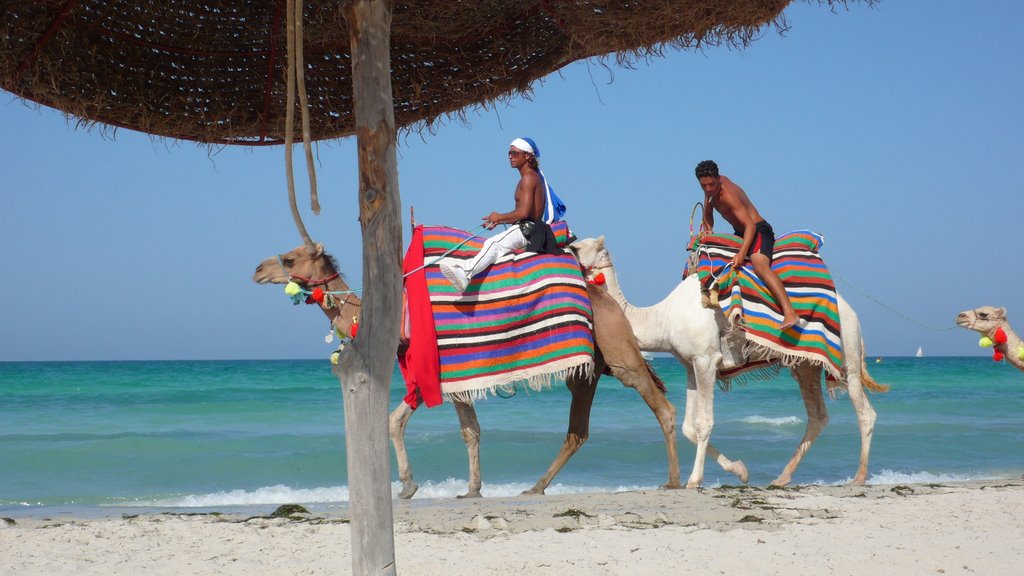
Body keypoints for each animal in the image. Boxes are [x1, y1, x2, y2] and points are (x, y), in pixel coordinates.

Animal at [250, 241, 679, 498]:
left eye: (290, 258)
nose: (257, 269)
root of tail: (608, 299)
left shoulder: (440, 370)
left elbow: (454, 428)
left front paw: (418, 486)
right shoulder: (430, 375)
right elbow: (415, 422)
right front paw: (456, 488)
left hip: (618, 351)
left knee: (660, 404)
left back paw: (674, 481)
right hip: (587, 369)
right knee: (578, 430)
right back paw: (535, 488)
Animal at [569, 235, 888, 485]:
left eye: (574, 246)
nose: (563, 249)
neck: (663, 318)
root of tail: (852, 312)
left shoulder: (706, 359)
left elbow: (704, 423)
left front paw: (695, 480)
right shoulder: (690, 364)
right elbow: (689, 427)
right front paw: (741, 471)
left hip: (846, 353)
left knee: (865, 412)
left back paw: (859, 476)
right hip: (805, 364)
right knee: (818, 416)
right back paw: (781, 478)